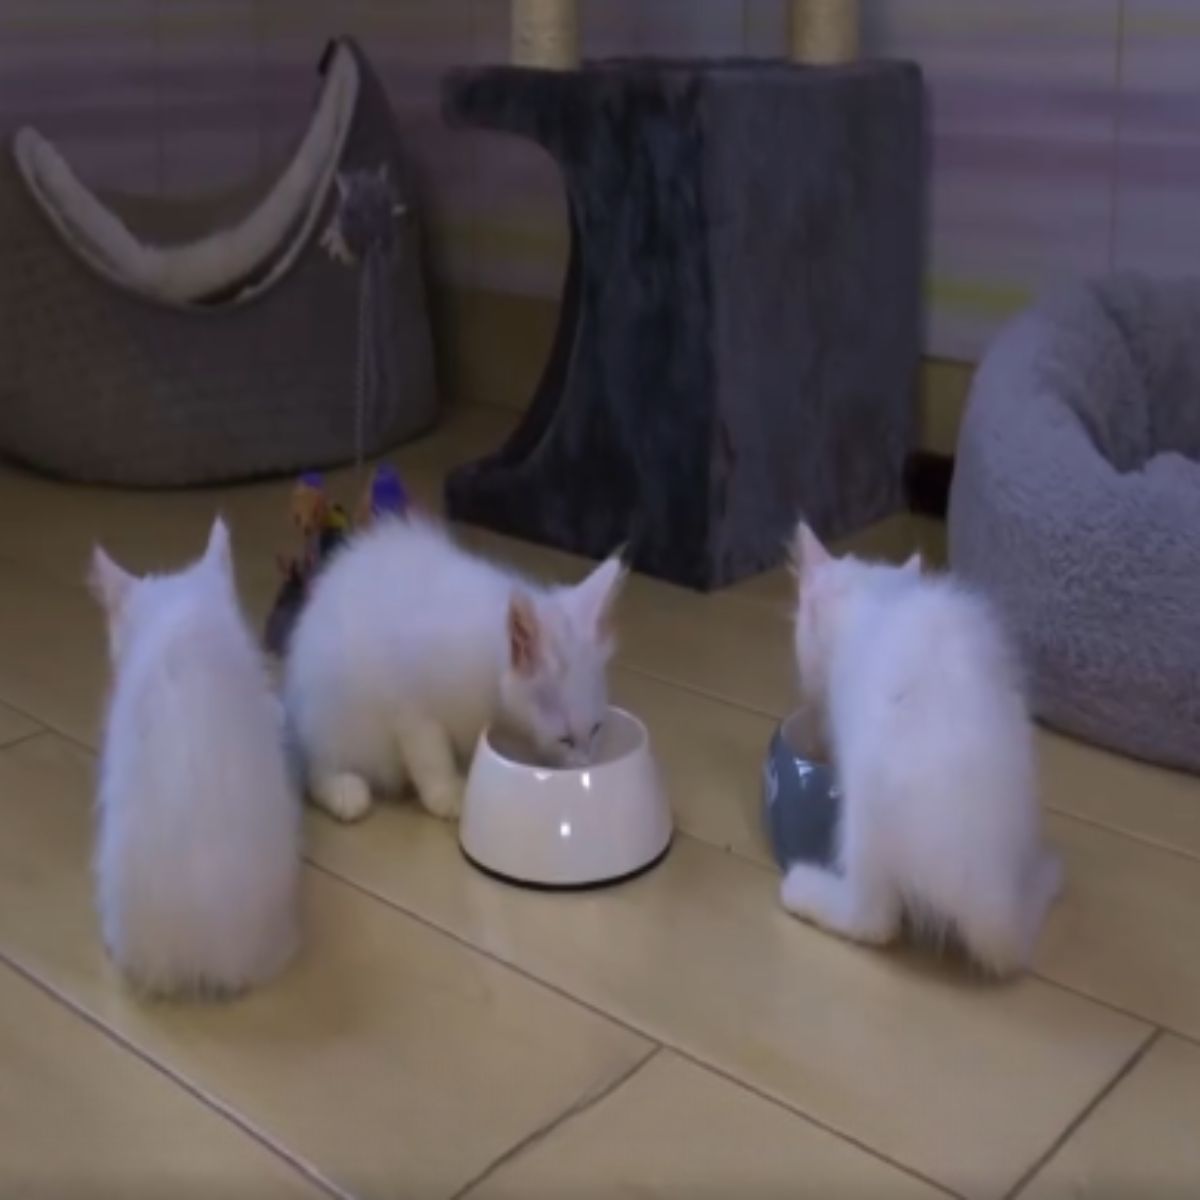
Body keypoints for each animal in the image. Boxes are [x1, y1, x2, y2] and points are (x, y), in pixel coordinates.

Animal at [282, 516, 628, 825]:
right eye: (565, 739)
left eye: (596, 729)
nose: (584, 765)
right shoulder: (410, 704)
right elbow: (430, 754)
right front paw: (450, 795)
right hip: (336, 713)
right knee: (315, 768)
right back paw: (344, 791)